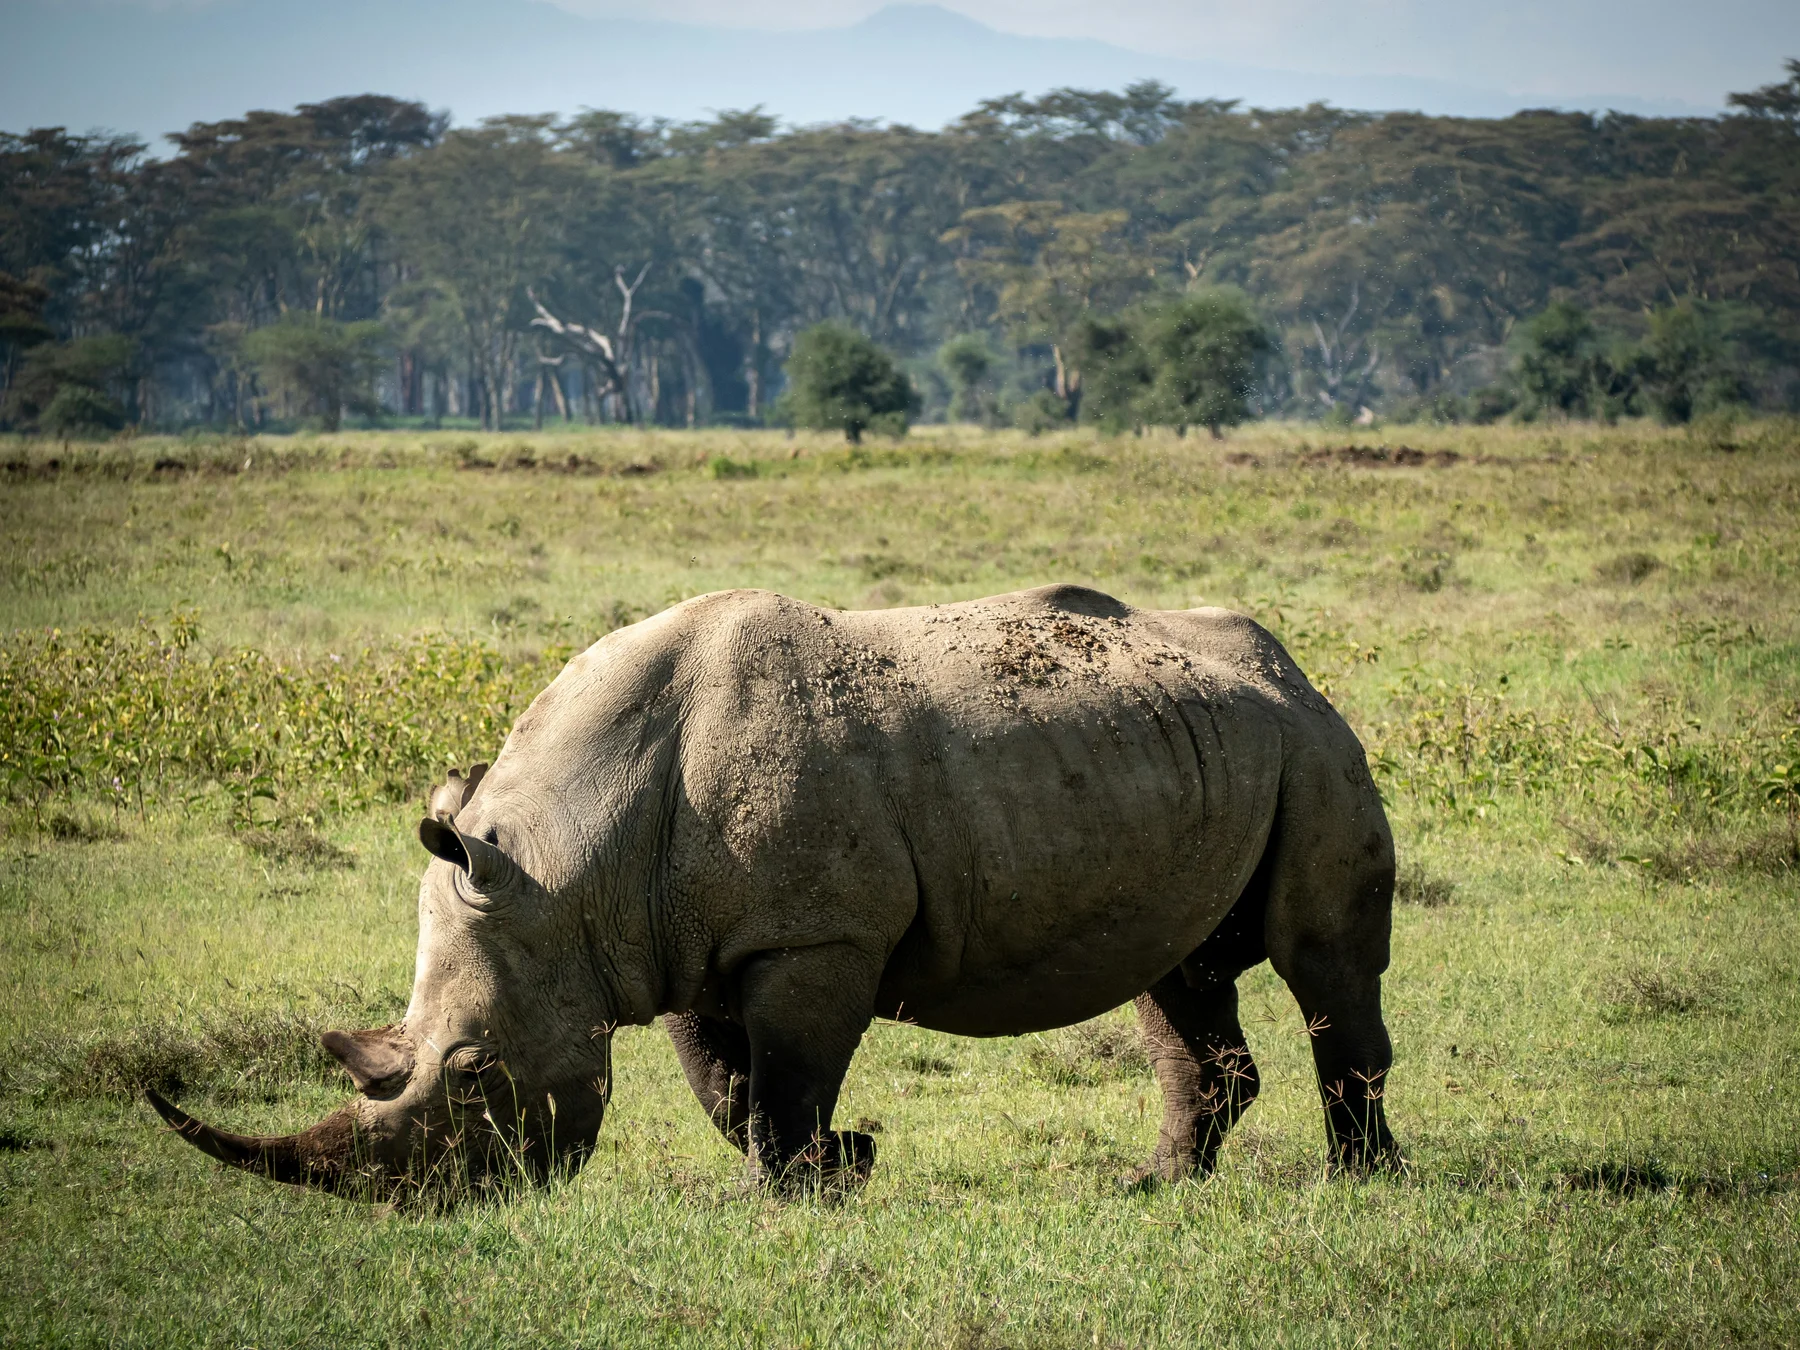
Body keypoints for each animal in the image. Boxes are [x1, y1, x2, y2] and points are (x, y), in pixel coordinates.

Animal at [148, 584, 1398, 1196]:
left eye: (473, 1073)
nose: (434, 1204)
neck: (565, 865)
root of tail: (1291, 666)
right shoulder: (669, 941)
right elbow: (726, 1087)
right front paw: (834, 1169)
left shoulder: (815, 938)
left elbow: (788, 1076)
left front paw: (802, 1187)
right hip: (1196, 752)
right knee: (1176, 974)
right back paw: (1157, 1188)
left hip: (1315, 749)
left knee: (1320, 962)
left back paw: (1359, 1189)